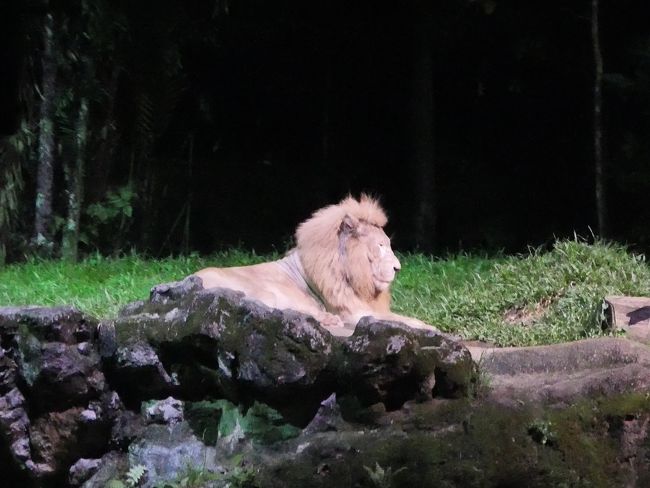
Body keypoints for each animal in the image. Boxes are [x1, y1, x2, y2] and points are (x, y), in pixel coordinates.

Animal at [194, 194, 436, 336]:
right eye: (381, 246)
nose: (398, 268)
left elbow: (405, 318)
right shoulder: (353, 314)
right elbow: (405, 320)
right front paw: (430, 327)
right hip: (261, 290)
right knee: (266, 310)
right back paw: (327, 319)